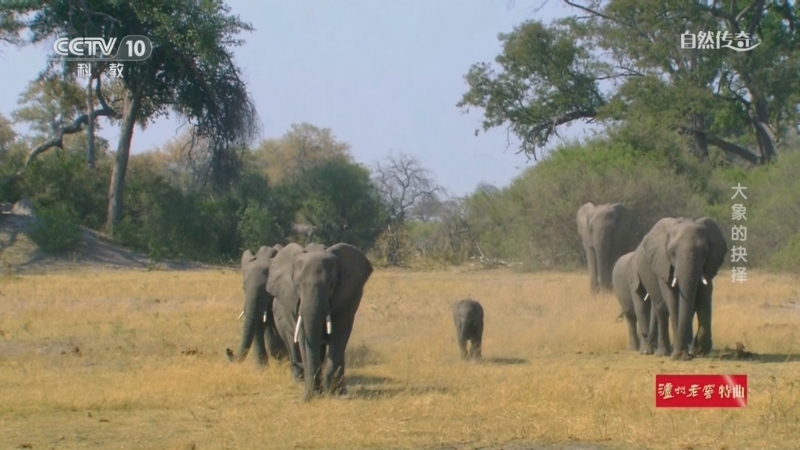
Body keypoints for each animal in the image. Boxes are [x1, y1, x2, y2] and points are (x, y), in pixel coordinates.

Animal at [266, 242, 374, 401]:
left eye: (332, 285)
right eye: (297, 285)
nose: (304, 399)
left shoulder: (347, 297)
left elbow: (338, 333)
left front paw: (334, 394)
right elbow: (304, 338)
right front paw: (314, 395)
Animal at [632, 217, 727, 360]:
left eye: (704, 252)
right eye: (672, 252)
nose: (682, 354)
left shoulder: (708, 265)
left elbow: (704, 299)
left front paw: (698, 350)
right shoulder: (663, 264)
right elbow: (673, 300)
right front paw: (681, 355)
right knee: (661, 310)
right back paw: (663, 353)